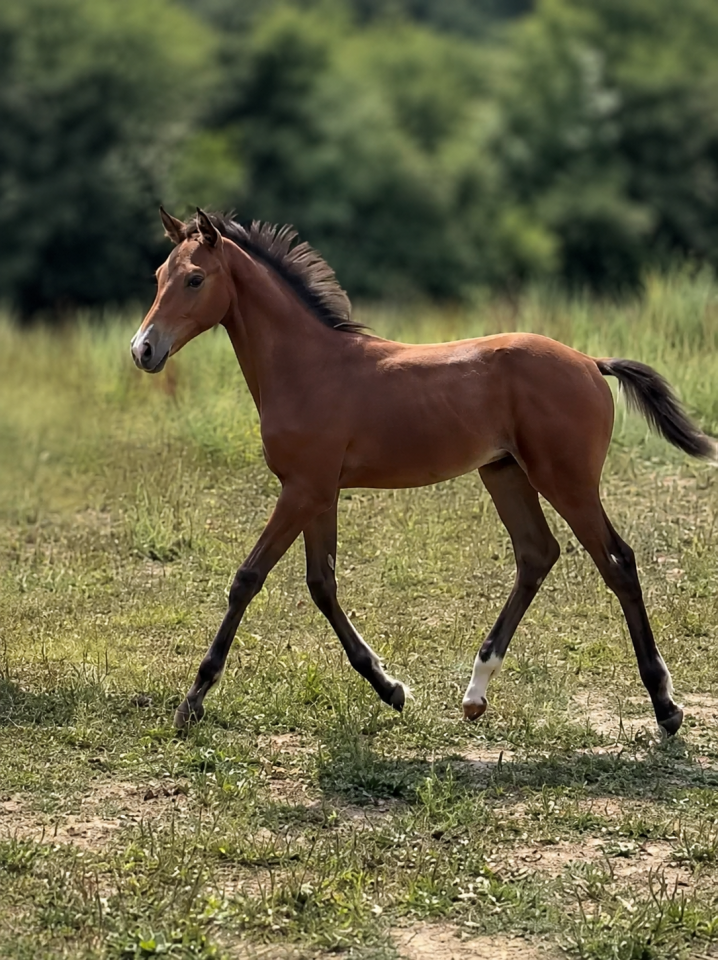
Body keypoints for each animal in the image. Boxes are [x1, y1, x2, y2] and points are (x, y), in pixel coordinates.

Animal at [130, 207, 715, 736]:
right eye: (158, 276)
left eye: (195, 278)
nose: (143, 350)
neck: (308, 367)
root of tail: (592, 363)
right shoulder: (318, 492)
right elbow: (322, 584)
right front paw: (390, 688)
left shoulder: (301, 491)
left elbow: (248, 579)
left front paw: (192, 700)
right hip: (504, 473)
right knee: (536, 554)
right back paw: (475, 694)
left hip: (567, 481)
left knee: (617, 562)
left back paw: (665, 707)